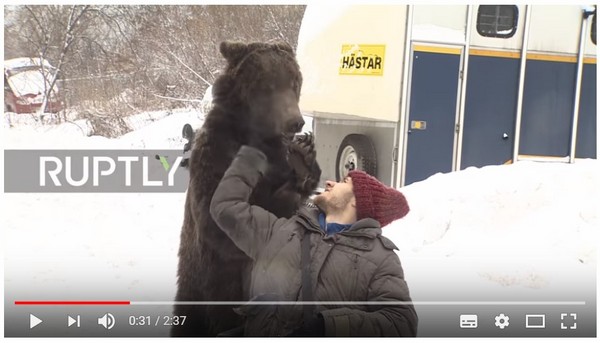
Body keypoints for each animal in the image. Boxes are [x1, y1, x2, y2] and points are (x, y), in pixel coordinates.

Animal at [171, 41, 322, 338]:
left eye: (294, 82)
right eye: (267, 85)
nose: (296, 122)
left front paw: (304, 156)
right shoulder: (215, 159)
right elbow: (225, 225)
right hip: (201, 293)